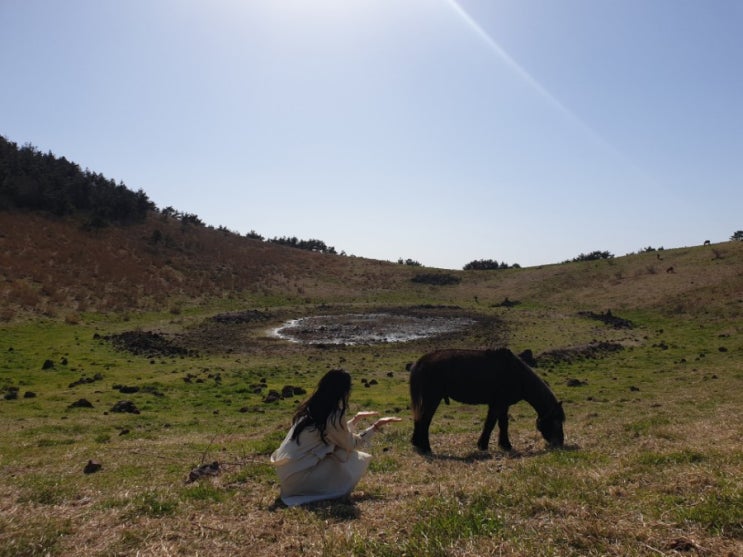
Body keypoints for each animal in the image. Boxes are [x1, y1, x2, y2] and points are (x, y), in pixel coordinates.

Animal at [410, 350, 568, 454]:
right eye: (556, 420)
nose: (560, 443)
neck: (517, 374)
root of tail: (421, 361)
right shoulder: (498, 404)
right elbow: (490, 424)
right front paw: (483, 445)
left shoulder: (503, 404)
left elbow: (502, 424)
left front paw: (505, 445)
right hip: (432, 399)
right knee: (424, 420)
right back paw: (425, 447)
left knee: (419, 420)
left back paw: (417, 444)